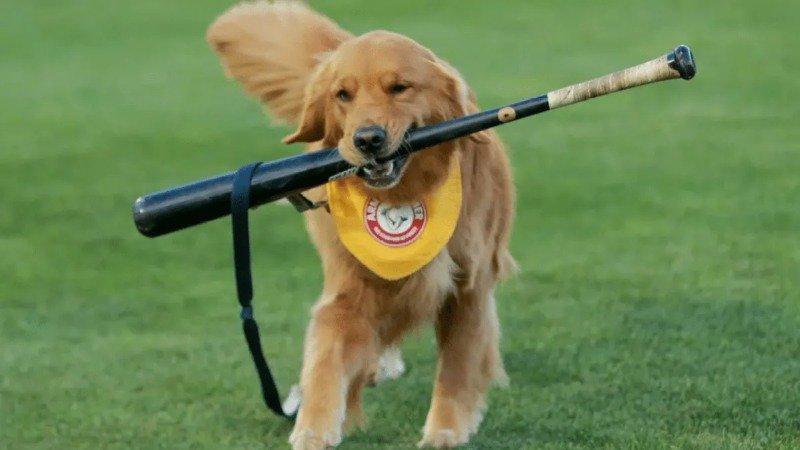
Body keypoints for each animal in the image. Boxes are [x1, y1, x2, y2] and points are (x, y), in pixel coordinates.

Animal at [209, 1, 516, 448]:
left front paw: (446, 428)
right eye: (342, 95)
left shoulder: (469, 287)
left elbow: (457, 367)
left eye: (400, 87)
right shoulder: (349, 288)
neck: (405, 193)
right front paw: (313, 427)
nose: (367, 139)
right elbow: (325, 358)